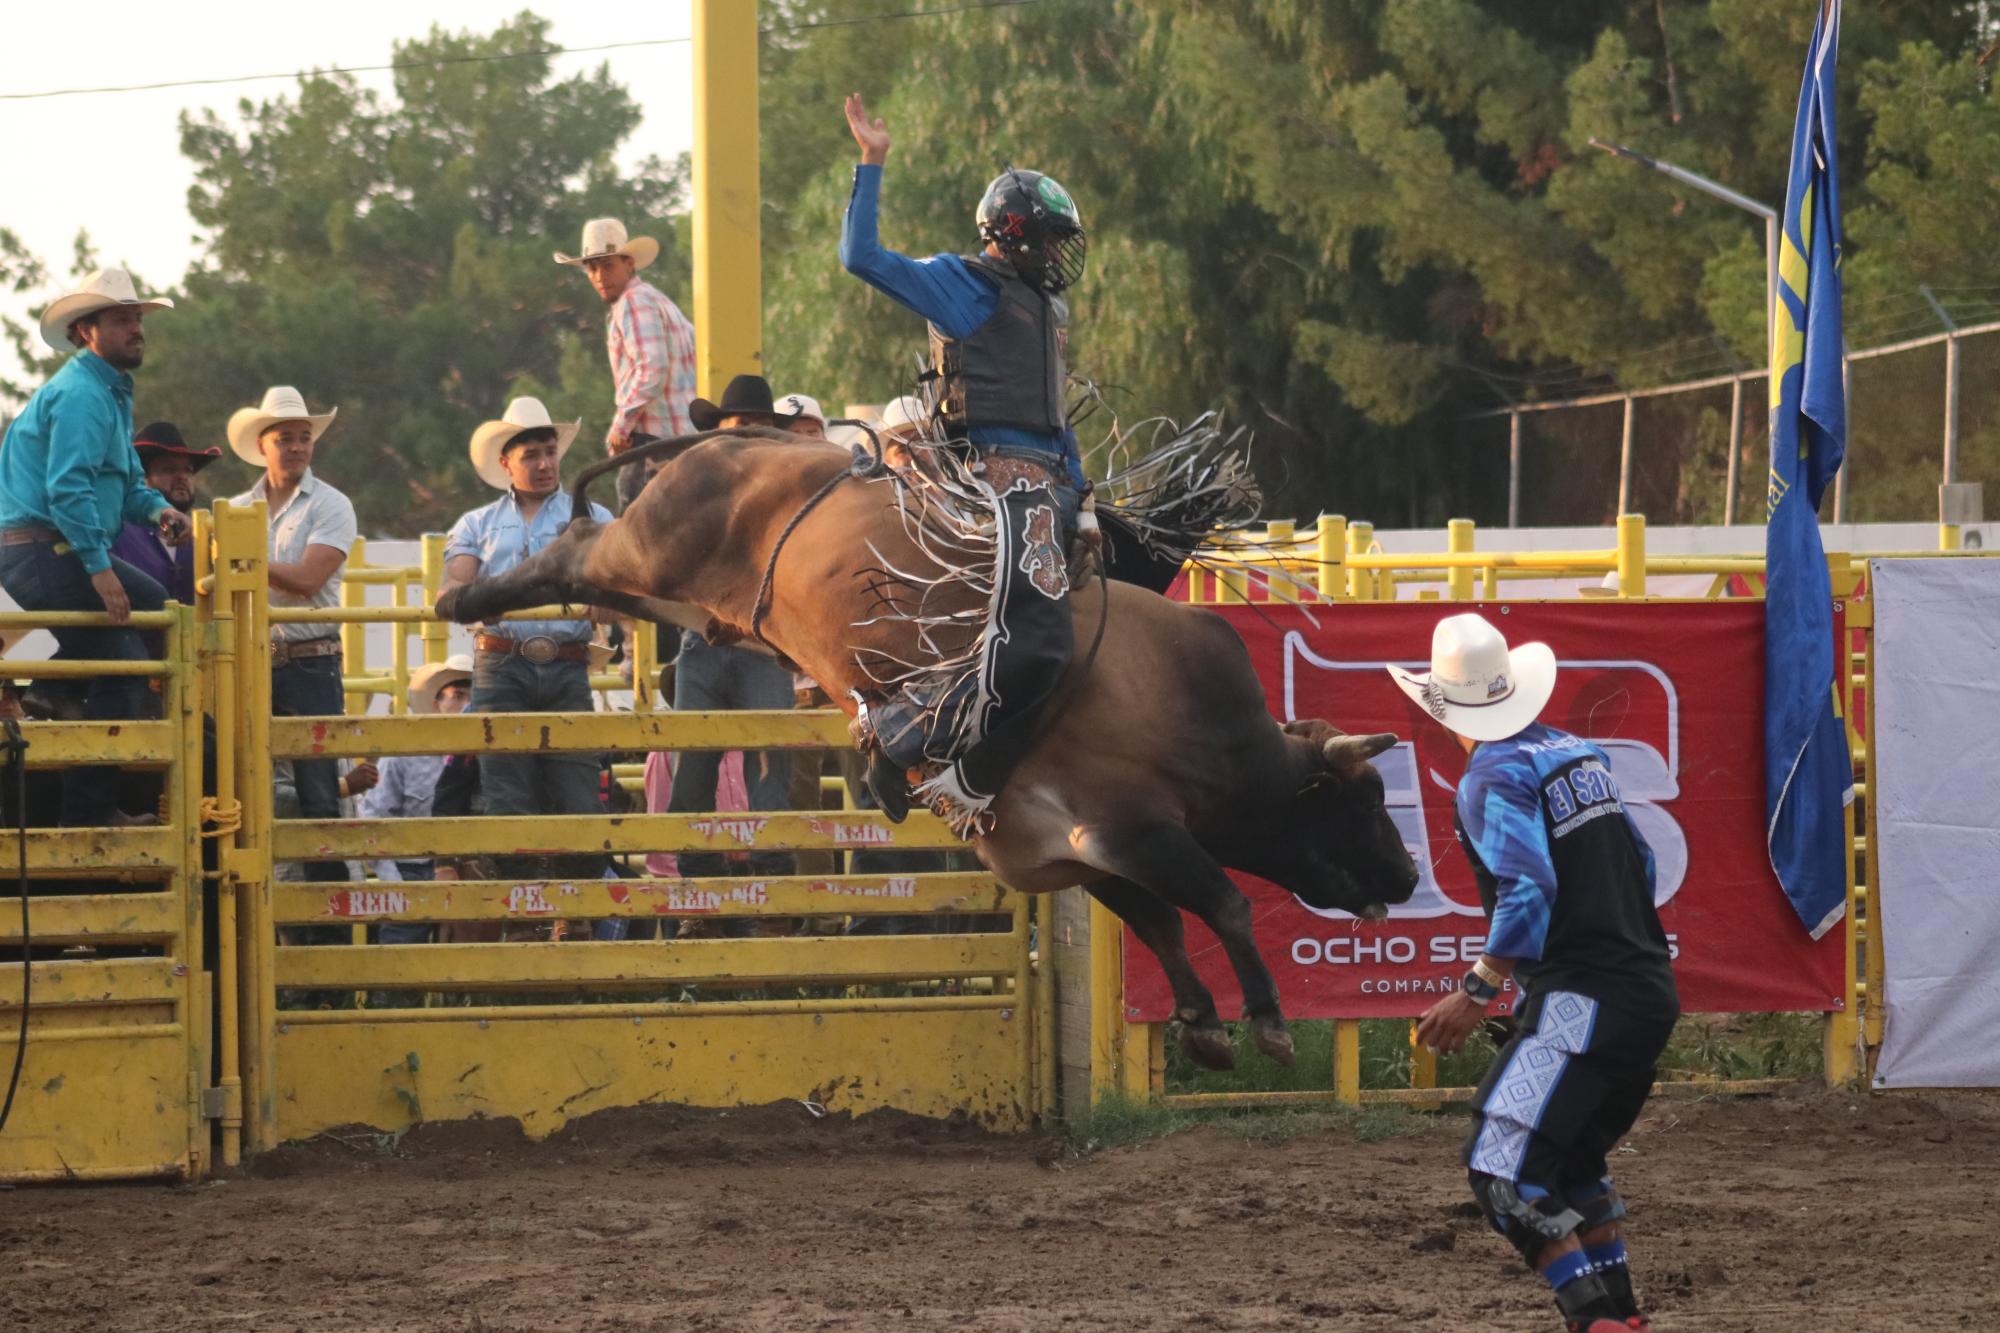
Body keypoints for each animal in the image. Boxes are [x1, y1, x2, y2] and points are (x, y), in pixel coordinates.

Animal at [434, 426, 1424, 1072]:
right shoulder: (1136, 831)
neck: (1206, 723)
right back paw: (463, 599)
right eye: (1364, 800)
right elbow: (1223, 904)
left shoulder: (1073, 851)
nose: (1411, 875)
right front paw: (1266, 1021)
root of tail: (726, 445)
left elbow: (1161, 922)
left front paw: (1204, 1024)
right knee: (570, 546)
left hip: (683, 602)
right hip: (646, 552)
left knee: (581, 556)